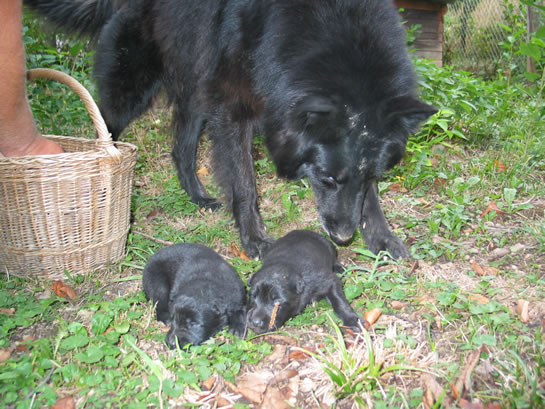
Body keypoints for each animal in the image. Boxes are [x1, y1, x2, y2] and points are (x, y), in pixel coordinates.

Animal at [26, 0, 437, 258]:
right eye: (326, 179)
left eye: (373, 176)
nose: (344, 237)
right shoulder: (233, 110)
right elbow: (243, 183)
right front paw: (253, 238)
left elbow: (370, 198)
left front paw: (382, 238)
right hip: (134, 90)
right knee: (107, 128)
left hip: (197, 91)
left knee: (181, 148)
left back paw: (197, 195)